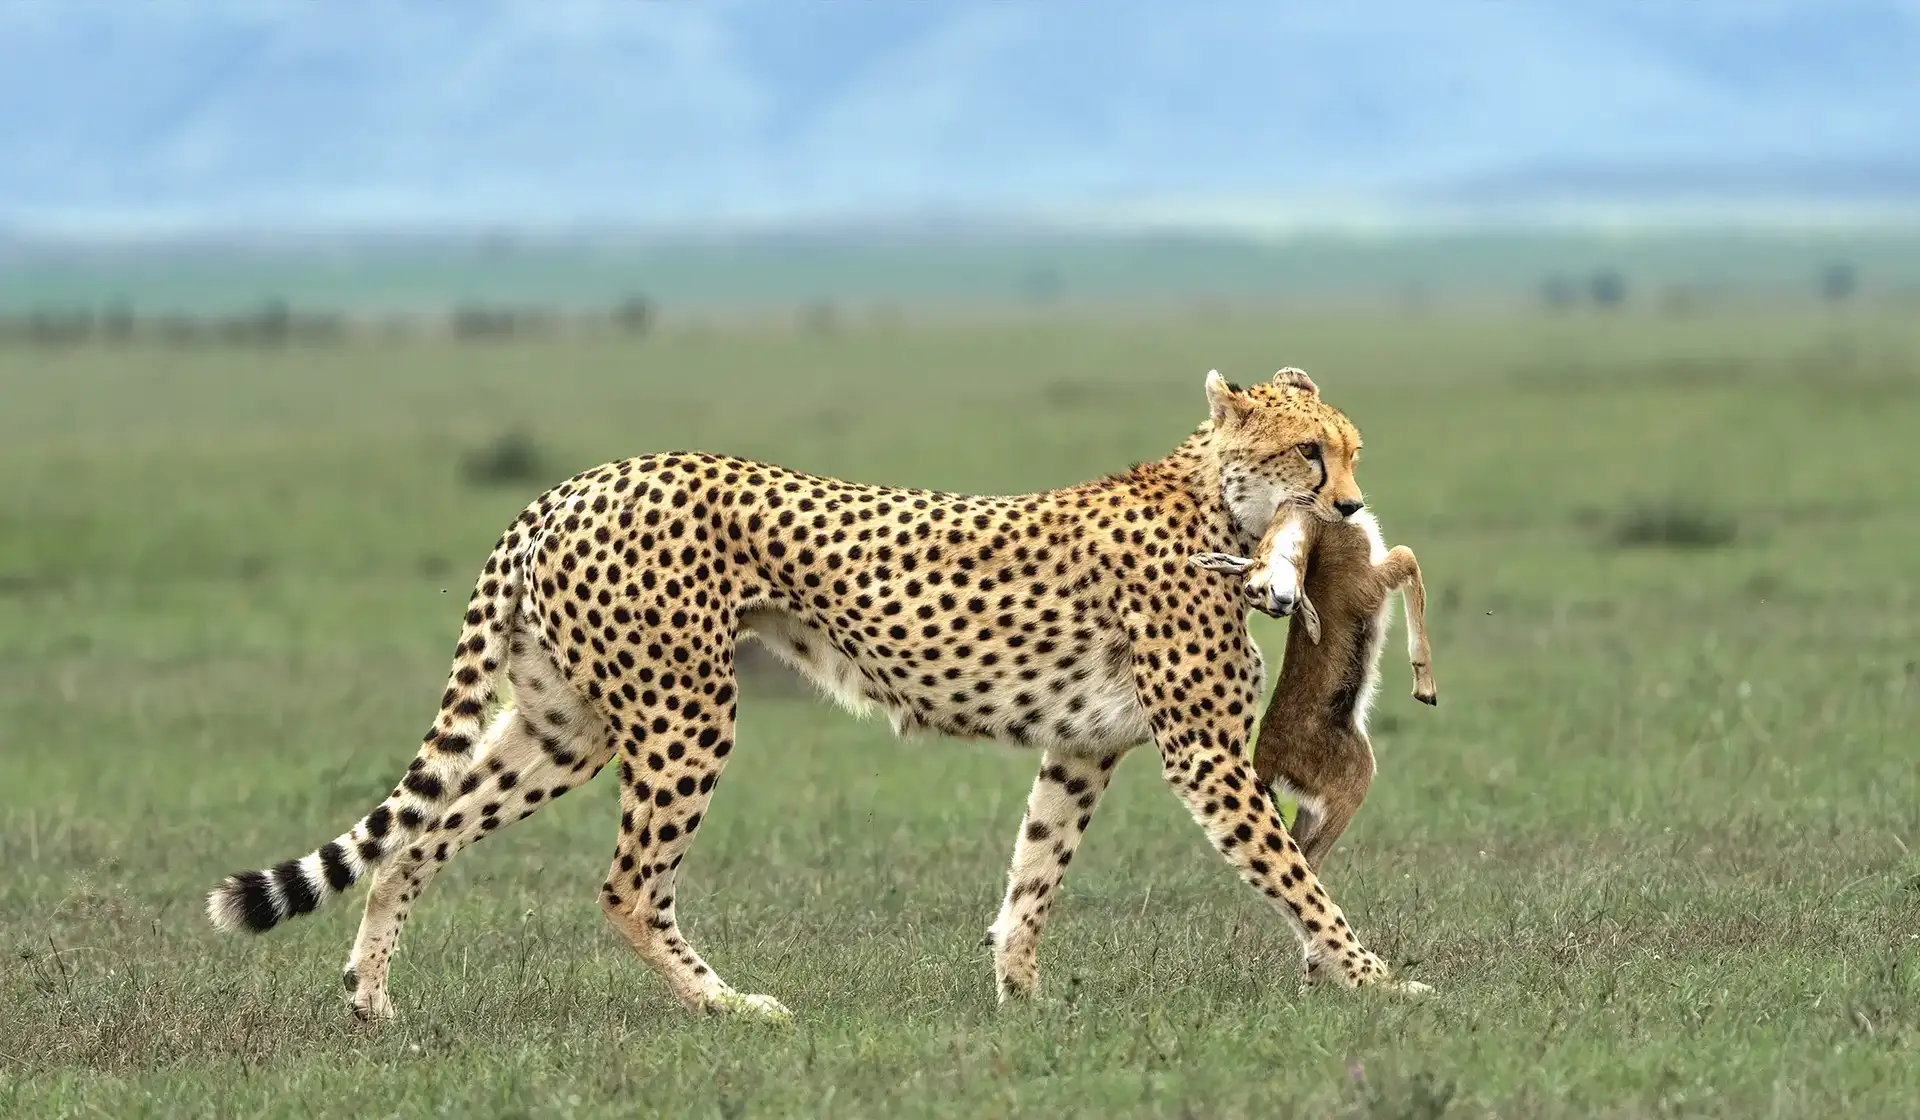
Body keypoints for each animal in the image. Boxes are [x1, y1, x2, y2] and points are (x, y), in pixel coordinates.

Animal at [204, 366, 1431, 1021]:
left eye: (1354, 448)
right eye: (1312, 453)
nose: (1353, 508)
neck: (1216, 501)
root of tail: (578, 481)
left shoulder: (1082, 748)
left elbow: (1033, 872)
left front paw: (1020, 997)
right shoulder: (1207, 756)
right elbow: (1296, 879)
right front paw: (1379, 980)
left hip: (565, 723)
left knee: (420, 834)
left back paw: (370, 997)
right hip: (685, 712)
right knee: (625, 886)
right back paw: (730, 1006)